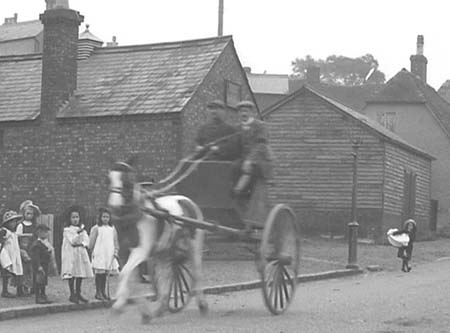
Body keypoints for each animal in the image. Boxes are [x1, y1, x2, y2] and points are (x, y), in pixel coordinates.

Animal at [107, 159, 207, 322]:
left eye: (127, 180)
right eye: (109, 179)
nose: (114, 207)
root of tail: (188, 201)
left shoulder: (140, 251)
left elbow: (125, 274)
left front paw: (118, 305)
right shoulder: (123, 252)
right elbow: (130, 278)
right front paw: (142, 311)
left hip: (194, 244)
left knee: (197, 271)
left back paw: (202, 305)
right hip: (165, 250)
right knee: (167, 274)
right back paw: (161, 307)